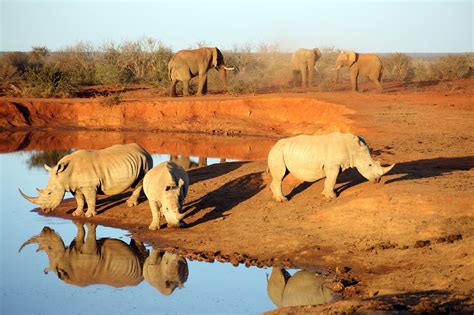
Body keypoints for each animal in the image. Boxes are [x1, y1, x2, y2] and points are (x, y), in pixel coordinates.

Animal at [18, 144, 152, 218]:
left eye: (50, 193)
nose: (44, 210)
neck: (64, 174)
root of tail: (143, 149)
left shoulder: (90, 186)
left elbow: (90, 199)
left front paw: (89, 215)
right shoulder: (74, 186)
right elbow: (79, 200)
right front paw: (77, 214)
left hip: (145, 160)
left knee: (140, 180)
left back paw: (130, 204)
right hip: (138, 159)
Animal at [266, 132, 396, 201]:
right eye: (369, 165)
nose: (378, 180)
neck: (353, 149)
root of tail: (273, 147)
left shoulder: (336, 165)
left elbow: (330, 180)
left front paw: (325, 194)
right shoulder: (333, 165)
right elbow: (332, 179)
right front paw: (333, 197)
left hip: (281, 153)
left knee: (282, 174)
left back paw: (276, 198)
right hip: (277, 154)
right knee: (280, 176)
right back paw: (283, 200)